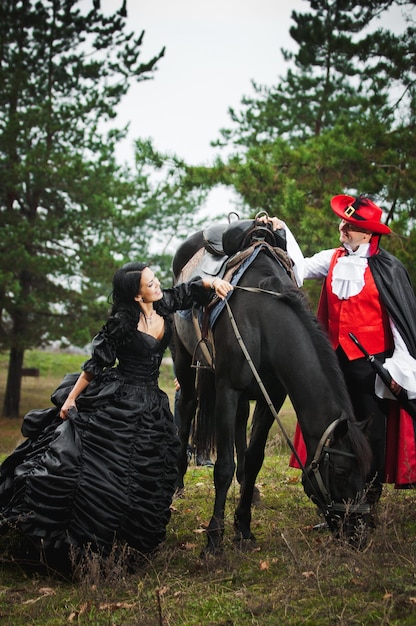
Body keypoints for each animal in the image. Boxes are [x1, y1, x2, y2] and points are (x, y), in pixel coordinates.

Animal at [172, 229, 370, 552]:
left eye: (367, 470)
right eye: (341, 471)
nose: (359, 532)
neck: (262, 322)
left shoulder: (271, 398)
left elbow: (254, 459)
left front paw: (243, 526)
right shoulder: (228, 390)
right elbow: (223, 466)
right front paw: (214, 536)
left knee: (240, 426)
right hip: (184, 363)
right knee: (188, 408)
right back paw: (176, 484)